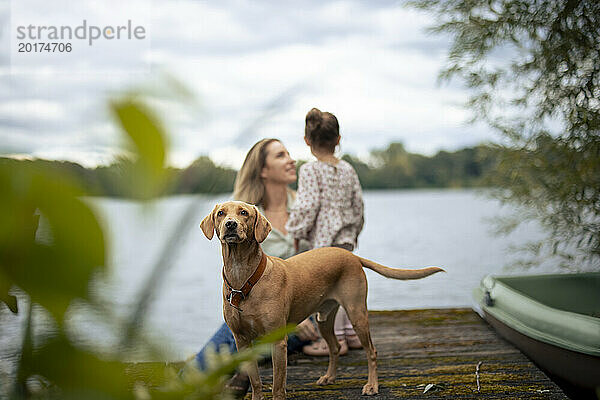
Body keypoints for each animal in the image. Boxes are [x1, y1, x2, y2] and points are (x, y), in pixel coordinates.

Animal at [202, 202, 446, 398]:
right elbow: (256, 383)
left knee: (372, 352)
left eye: (243, 212)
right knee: (336, 347)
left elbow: (278, 386)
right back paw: (329, 377)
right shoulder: (242, 341)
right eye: (221, 213)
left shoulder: (278, 341)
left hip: (357, 314)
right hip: (324, 319)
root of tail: (351, 255)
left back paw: (372, 386)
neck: (244, 280)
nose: (230, 225)